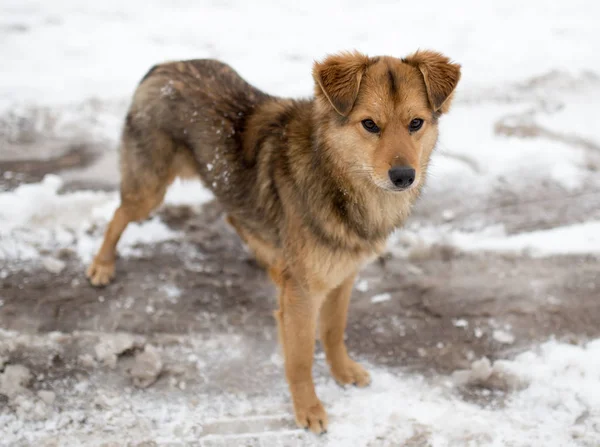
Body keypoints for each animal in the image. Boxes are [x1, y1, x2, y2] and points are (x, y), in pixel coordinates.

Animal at [85, 49, 460, 434]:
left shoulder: (344, 276)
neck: (337, 179)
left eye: (416, 123)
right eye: (370, 124)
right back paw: (102, 265)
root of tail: (165, 66)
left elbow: (334, 330)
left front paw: (342, 371)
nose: (404, 176)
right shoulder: (304, 295)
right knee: (118, 216)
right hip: (149, 191)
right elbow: (301, 358)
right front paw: (308, 408)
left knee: (235, 218)